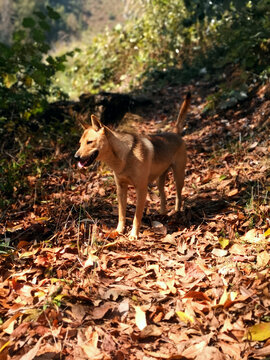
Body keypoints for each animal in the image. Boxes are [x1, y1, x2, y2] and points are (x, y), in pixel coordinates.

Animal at [75, 93, 191, 239]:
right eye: (80, 143)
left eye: (90, 142)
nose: (76, 157)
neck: (125, 156)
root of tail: (175, 133)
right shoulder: (121, 188)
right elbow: (121, 214)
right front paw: (119, 230)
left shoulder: (141, 189)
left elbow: (137, 216)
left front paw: (133, 234)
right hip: (160, 179)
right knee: (163, 195)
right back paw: (163, 213)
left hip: (178, 176)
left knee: (179, 196)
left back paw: (176, 212)